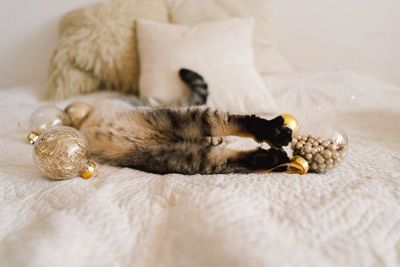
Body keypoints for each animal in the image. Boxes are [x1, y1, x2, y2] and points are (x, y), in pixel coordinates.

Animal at [78, 68, 292, 176]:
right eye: (218, 141)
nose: (215, 141)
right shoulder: (186, 145)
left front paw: (273, 156)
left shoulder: (183, 152)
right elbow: (234, 131)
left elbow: (230, 149)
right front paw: (273, 140)